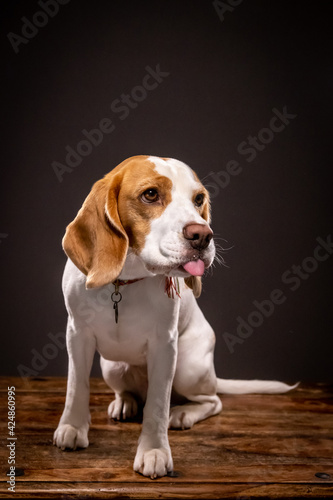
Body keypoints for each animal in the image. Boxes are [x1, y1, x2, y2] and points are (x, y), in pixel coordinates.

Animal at [53, 155, 294, 476]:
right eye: (150, 194)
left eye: (199, 199)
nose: (203, 235)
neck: (124, 281)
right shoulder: (77, 334)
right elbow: (76, 386)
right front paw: (72, 428)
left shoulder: (165, 346)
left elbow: (157, 405)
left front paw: (154, 451)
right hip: (112, 367)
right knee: (130, 392)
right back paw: (125, 403)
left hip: (188, 369)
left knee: (211, 401)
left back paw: (183, 414)